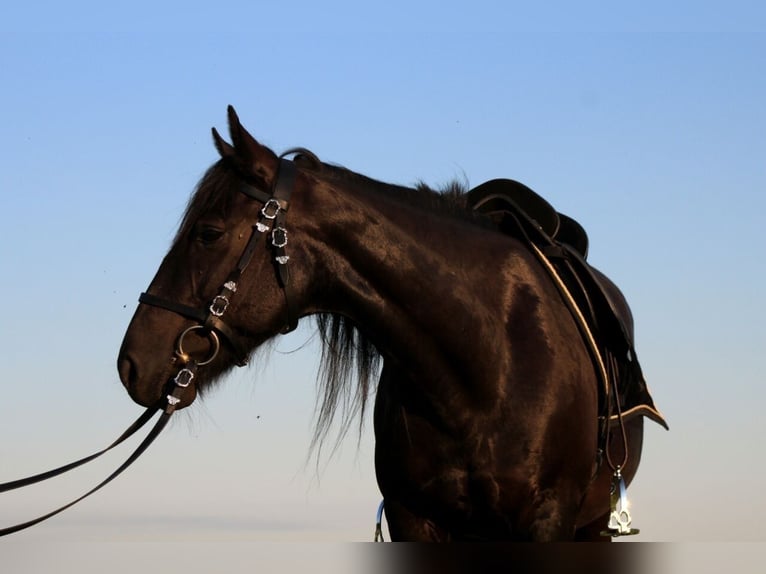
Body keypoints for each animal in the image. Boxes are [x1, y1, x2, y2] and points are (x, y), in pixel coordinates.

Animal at [117, 106, 665, 541]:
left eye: (208, 233)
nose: (131, 364)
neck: (487, 365)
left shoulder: (546, 519)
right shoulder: (412, 519)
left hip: (592, 527)